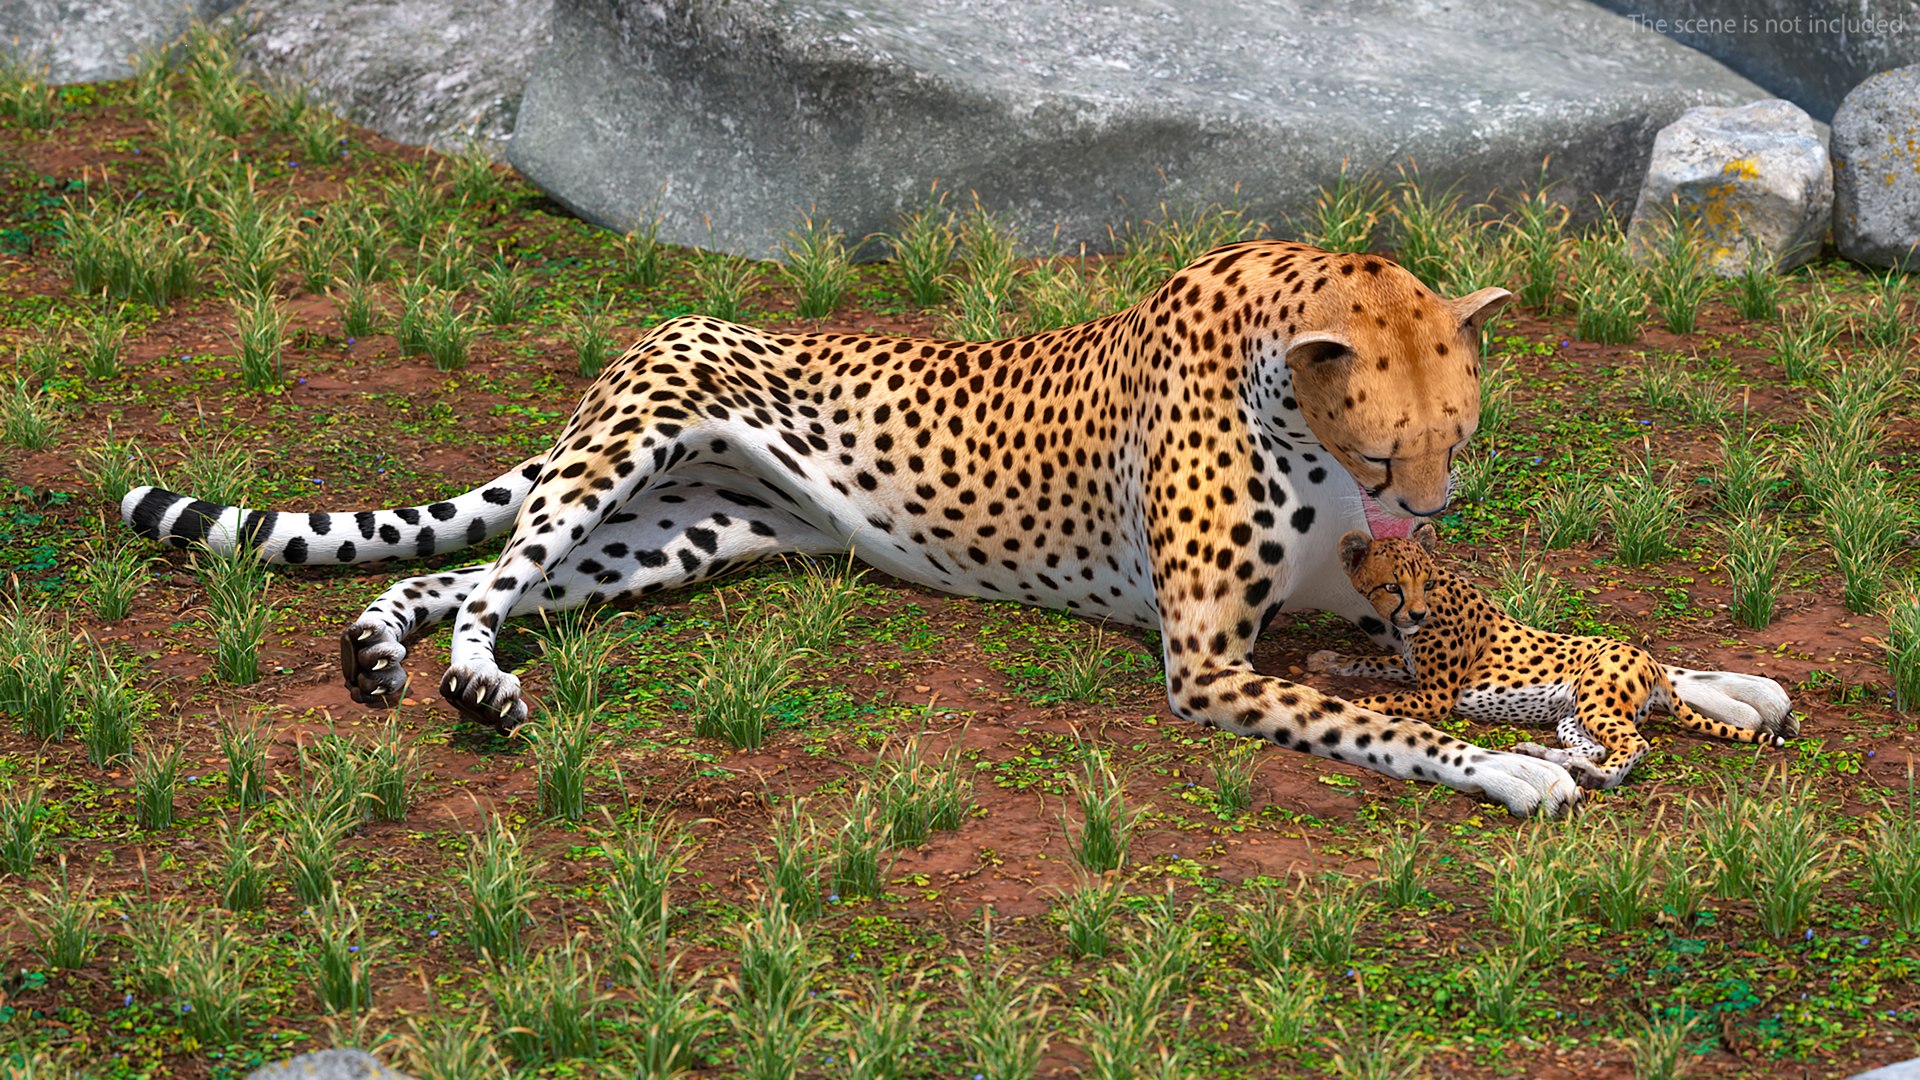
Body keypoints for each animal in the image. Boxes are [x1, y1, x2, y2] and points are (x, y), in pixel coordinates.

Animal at [1312, 524, 1787, 789]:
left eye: (1424, 584)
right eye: (1393, 586)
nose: (1415, 613)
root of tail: (1650, 660)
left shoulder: (1434, 697)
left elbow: (1374, 699)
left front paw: (1342, 702)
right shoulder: (1414, 674)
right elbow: (1375, 663)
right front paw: (1328, 661)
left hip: (1597, 702)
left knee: (1633, 745)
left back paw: (1596, 778)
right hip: (1572, 716)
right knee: (1596, 747)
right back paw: (1545, 755)